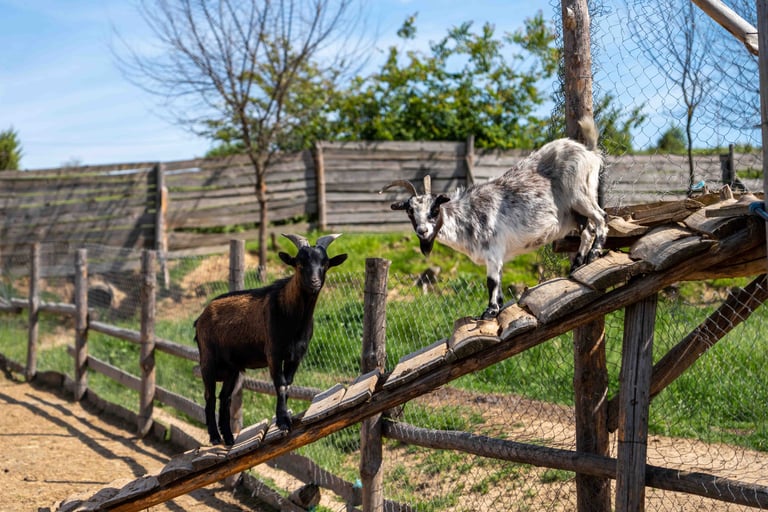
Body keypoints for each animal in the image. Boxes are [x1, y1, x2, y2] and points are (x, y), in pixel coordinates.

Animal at [194, 233, 347, 445]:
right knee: (210, 396)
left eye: (325, 263)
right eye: (300, 263)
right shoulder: (273, 353)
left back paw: (229, 439)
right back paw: (216, 438)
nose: (314, 282)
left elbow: (288, 383)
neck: (291, 316)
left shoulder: (296, 355)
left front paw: (286, 417)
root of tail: (201, 317)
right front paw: (282, 421)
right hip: (208, 360)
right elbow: (280, 383)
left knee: (225, 398)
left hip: (233, 369)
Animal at [381, 117, 606, 320]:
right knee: (588, 230)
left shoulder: (493, 251)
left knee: (601, 218)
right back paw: (577, 264)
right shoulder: (498, 256)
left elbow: (491, 282)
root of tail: (589, 152)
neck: (468, 216)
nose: (423, 231)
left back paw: (594, 254)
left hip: (581, 195)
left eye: (435, 210)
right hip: (575, 213)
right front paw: (497, 308)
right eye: (410, 211)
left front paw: (489, 312)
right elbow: (499, 281)